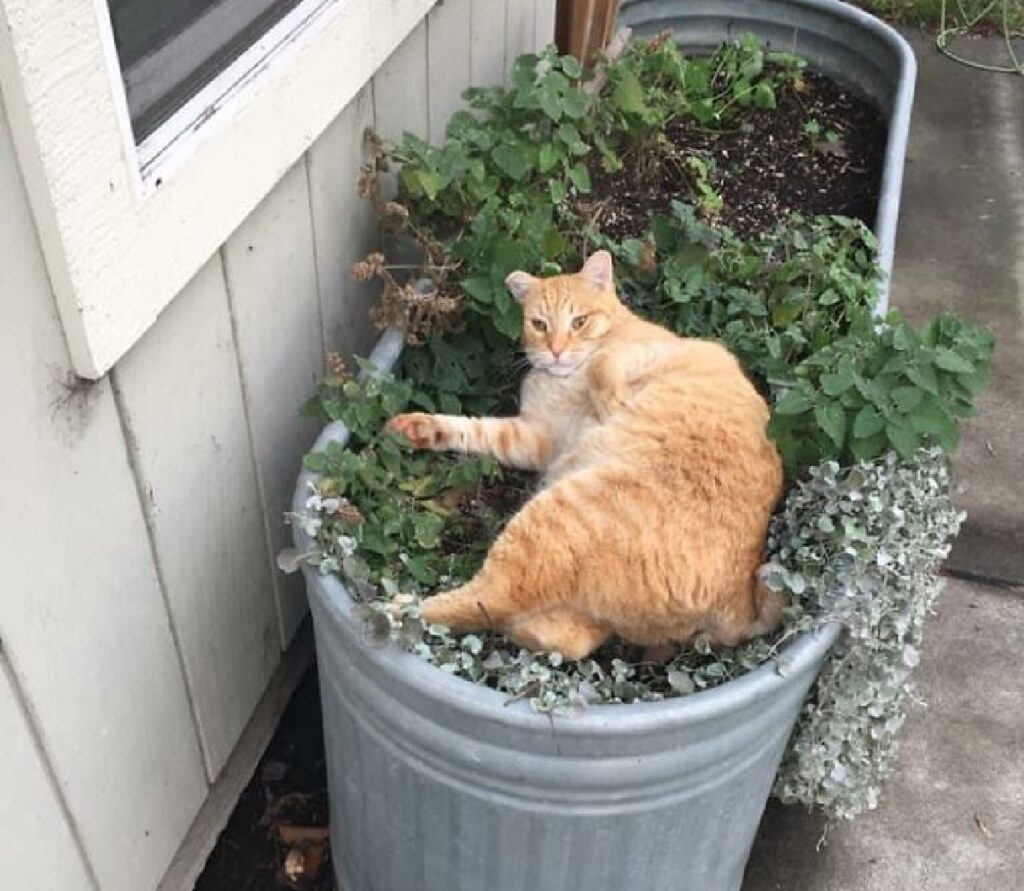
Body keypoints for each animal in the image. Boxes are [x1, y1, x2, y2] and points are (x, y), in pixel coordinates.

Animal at [385, 247, 782, 659]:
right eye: (539, 324)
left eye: (579, 321)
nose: (556, 351)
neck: (563, 380)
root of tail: (738, 607)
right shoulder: (533, 436)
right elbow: (475, 430)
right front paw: (418, 428)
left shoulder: (645, 352)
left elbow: (601, 365)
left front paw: (612, 404)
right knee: (558, 636)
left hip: (552, 521)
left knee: (485, 604)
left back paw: (393, 608)